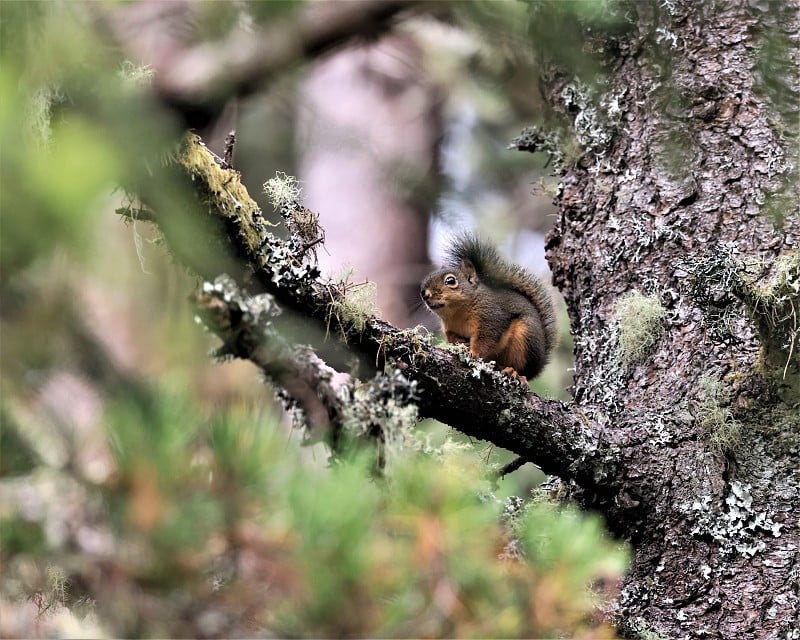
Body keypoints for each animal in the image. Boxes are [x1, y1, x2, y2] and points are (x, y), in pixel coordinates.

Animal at [422, 238, 560, 382]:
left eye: (450, 280)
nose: (424, 294)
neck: (458, 312)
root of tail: (538, 365)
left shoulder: (491, 317)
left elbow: (486, 339)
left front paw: (474, 352)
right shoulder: (450, 328)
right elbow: (452, 337)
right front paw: (461, 343)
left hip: (526, 339)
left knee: (524, 371)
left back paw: (514, 372)